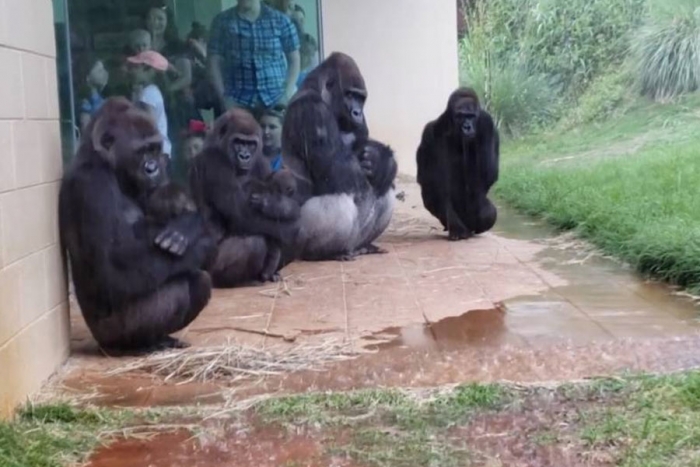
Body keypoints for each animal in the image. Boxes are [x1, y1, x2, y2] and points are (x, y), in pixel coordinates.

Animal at [58, 98, 215, 354]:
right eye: (141, 151)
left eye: (154, 149)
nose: (153, 168)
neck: (102, 161)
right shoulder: (92, 185)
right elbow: (116, 269)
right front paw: (200, 243)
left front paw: (187, 225)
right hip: (110, 336)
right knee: (184, 286)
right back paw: (140, 344)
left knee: (199, 281)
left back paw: (162, 338)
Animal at [187, 108, 300, 288]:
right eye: (238, 142)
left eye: (251, 144)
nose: (245, 156)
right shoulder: (214, 161)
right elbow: (242, 215)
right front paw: (291, 227)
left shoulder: (261, 160)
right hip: (209, 268)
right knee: (253, 242)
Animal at [280, 54, 400, 264]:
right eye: (349, 95)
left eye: (361, 98)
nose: (357, 112)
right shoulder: (313, 112)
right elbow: (341, 171)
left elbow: (364, 146)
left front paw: (382, 161)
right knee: (340, 201)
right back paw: (324, 253)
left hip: (356, 239)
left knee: (384, 187)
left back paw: (365, 246)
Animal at [416, 88, 498, 241]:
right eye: (460, 116)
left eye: (471, 116)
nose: (467, 127)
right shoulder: (430, 132)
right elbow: (430, 181)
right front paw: (456, 226)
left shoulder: (487, 124)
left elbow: (488, 174)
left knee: (489, 212)